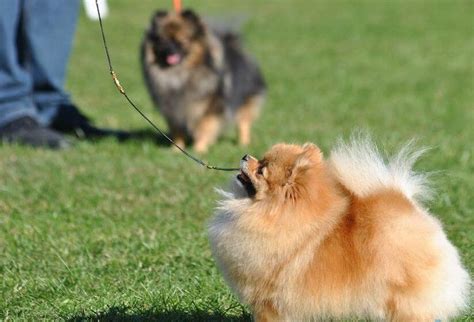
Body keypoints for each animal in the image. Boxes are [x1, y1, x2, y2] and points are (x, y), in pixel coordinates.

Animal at [141, 8, 266, 152]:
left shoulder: (210, 106)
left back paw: (243, 143)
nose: (170, 50)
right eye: (162, 40)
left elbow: (204, 127)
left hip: (245, 100)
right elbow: (177, 130)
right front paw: (176, 150)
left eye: (182, 41)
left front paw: (199, 149)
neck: (180, 74)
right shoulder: (173, 110)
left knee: (243, 123)